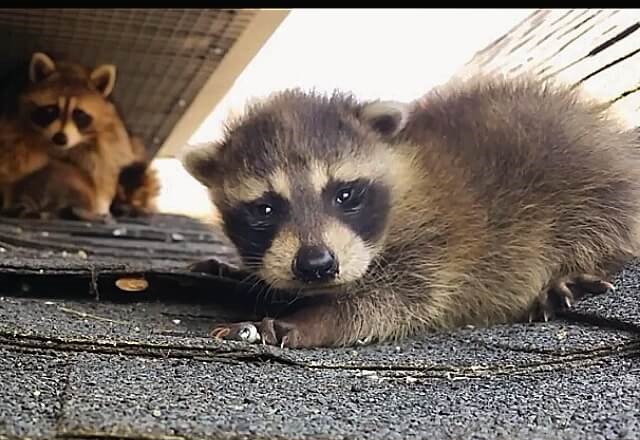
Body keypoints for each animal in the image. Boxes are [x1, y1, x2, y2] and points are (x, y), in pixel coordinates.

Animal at [182, 75, 640, 348]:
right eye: (264, 208)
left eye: (344, 195)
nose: (315, 265)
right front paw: (235, 274)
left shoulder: (437, 243)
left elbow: (393, 303)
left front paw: (309, 321)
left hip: (591, 178)